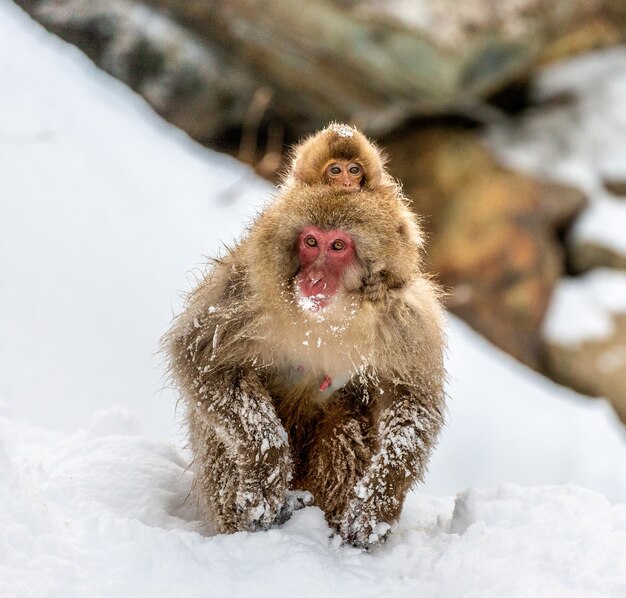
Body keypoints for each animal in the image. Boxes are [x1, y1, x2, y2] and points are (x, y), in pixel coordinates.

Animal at [161, 124, 444, 552]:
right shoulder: (247, 291)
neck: (329, 319)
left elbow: (412, 401)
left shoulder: (405, 319)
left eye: (337, 246)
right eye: (311, 242)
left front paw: (376, 503)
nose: (312, 280)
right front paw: (266, 468)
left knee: (348, 418)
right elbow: (202, 357)